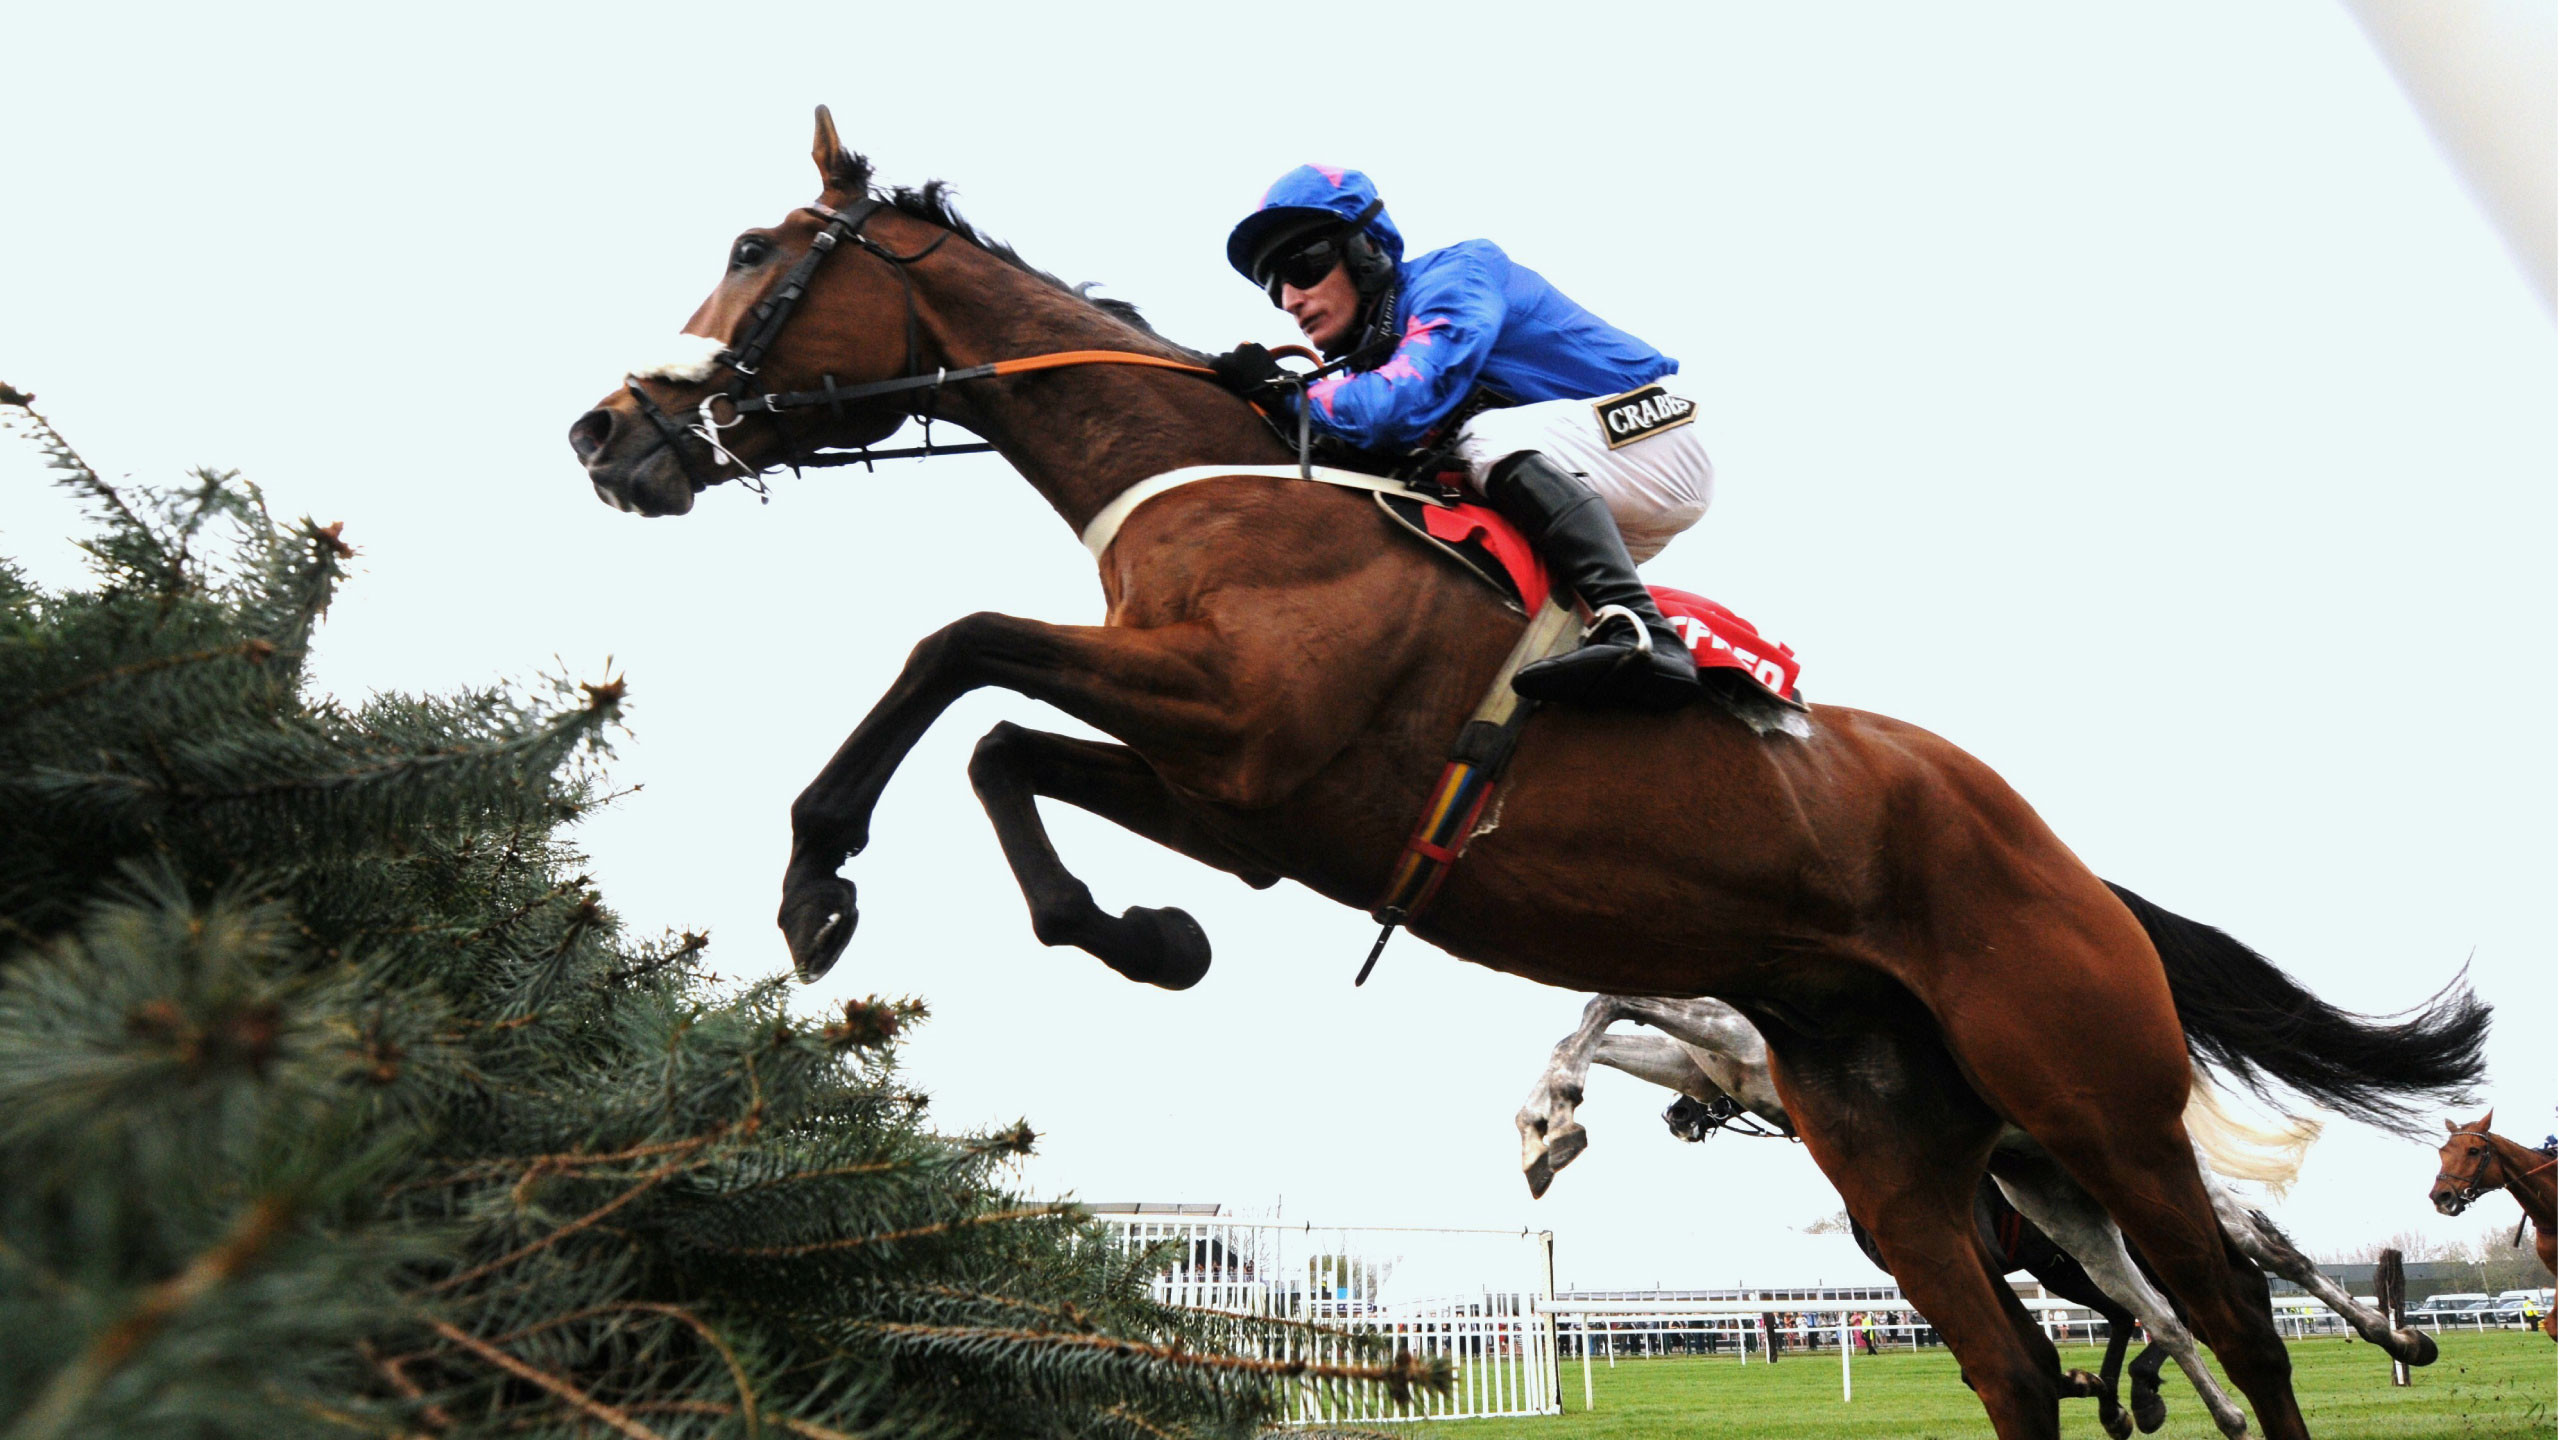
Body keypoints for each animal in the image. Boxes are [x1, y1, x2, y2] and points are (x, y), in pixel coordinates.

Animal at [570, 112, 2488, 1434]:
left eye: (756, 246)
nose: (608, 433)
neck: (1225, 485)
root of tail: (2071, 865)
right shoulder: (1244, 799)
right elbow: (996, 738)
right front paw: (1139, 937)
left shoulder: (1244, 729)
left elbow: (952, 651)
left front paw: (817, 878)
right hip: (1895, 1146)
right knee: (2019, 1363)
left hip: (2094, 1102)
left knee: (2231, 1314)